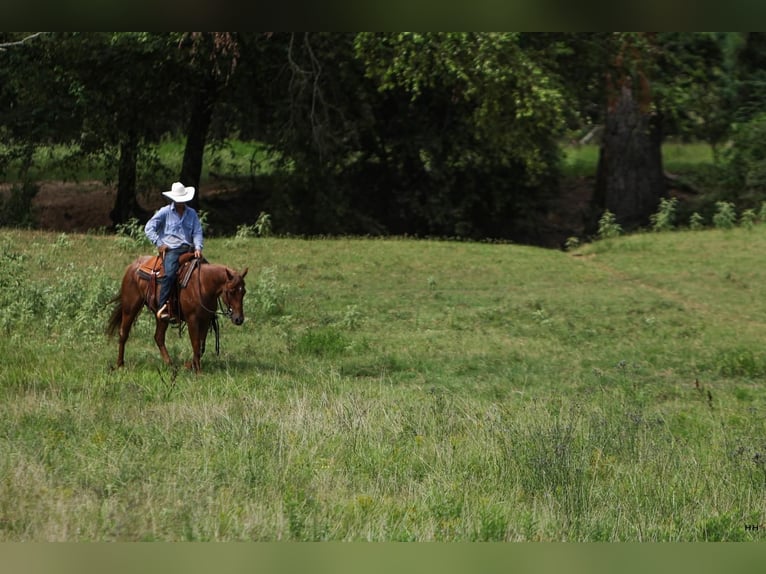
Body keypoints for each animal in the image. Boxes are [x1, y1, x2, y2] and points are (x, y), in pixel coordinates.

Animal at [105, 255, 248, 374]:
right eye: (231, 291)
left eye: (244, 292)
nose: (238, 319)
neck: (203, 285)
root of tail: (133, 266)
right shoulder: (192, 320)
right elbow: (196, 344)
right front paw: (198, 371)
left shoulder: (206, 320)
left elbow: (201, 346)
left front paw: (190, 365)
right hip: (130, 308)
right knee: (123, 333)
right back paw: (120, 364)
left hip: (161, 316)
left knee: (158, 337)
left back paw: (171, 365)